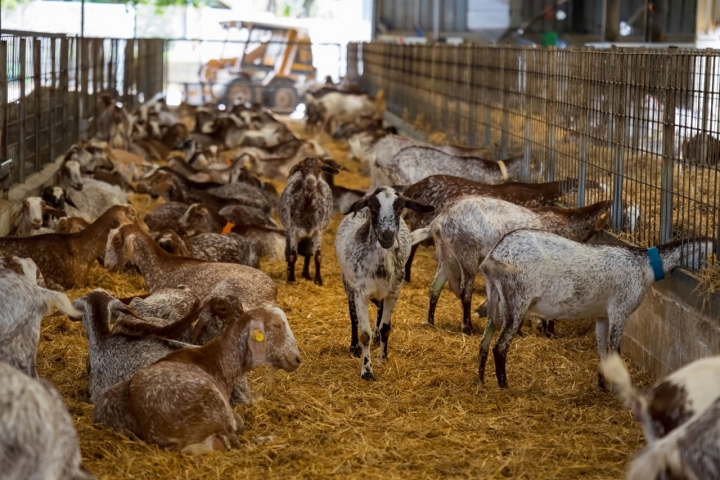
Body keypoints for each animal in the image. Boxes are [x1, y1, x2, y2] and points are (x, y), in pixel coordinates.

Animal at [92, 307, 300, 453]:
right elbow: (239, 424)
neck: (217, 361)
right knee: (236, 443)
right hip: (213, 404)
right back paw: (268, 440)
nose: (297, 359)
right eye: (276, 325)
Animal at [335, 187, 434, 380]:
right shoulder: (361, 293)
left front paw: (382, 359)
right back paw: (354, 347)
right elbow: (364, 333)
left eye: (401, 207)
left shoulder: (393, 292)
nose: (387, 236)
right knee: (353, 316)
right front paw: (367, 371)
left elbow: (386, 328)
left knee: (380, 313)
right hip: (347, 283)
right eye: (373, 206)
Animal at [412, 198, 611, 335]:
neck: (570, 223)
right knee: (465, 292)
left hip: (447, 255)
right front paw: (549, 331)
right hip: (466, 253)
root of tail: (439, 220)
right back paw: (467, 328)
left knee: (435, 287)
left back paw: (430, 322)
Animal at [478, 231, 715, 390]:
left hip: (495, 296)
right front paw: (619, 389)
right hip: (517, 299)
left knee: (485, 340)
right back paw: (503, 385)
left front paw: (602, 386)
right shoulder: (620, 310)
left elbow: (602, 351)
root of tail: (492, 256)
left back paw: (480, 380)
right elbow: (615, 350)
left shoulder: (602, 315)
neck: (644, 266)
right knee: (500, 346)